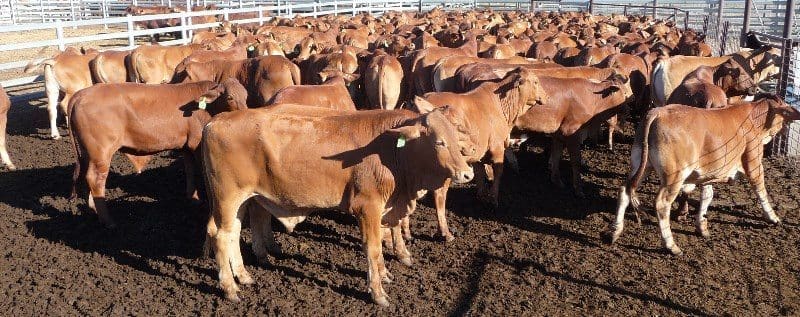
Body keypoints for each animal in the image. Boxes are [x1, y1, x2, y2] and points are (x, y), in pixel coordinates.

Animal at [69, 79, 247, 227]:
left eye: (246, 96)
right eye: (230, 97)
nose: (245, 113)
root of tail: (80, 94)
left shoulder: (186, 145)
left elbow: (190, 171)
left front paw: (193, 198)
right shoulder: (196, 143)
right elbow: (202, 173)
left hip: (87, 152)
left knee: (86, 175)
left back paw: (92, 209)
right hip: (101, 151)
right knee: (96, 179)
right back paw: (108, 221)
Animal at [202, 103, 476, 304]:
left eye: (455, 136)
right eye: (439, 141)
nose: (467, 174)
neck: (394, 151)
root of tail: (215, 121)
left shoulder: (385, 208)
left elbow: (382, 243)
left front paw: (385, 274)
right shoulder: (367, 207)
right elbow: (373, 248)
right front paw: (378, 293)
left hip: (243, 199)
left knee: (233, 233)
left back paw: (243, 276)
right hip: (228, 197)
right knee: (219, 235)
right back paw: (229, 288)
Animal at [608, 95, 800, 253]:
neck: (753, 118)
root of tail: (658, 113)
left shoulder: (709, 173)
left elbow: (707, 195)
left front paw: (702, 227)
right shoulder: (753, 162)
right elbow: (761, 191)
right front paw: (773, 217)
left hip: (640, 165)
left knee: (624, 190)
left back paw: (615, 231)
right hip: (674, 176)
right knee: (661, 204)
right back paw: (671, 245)